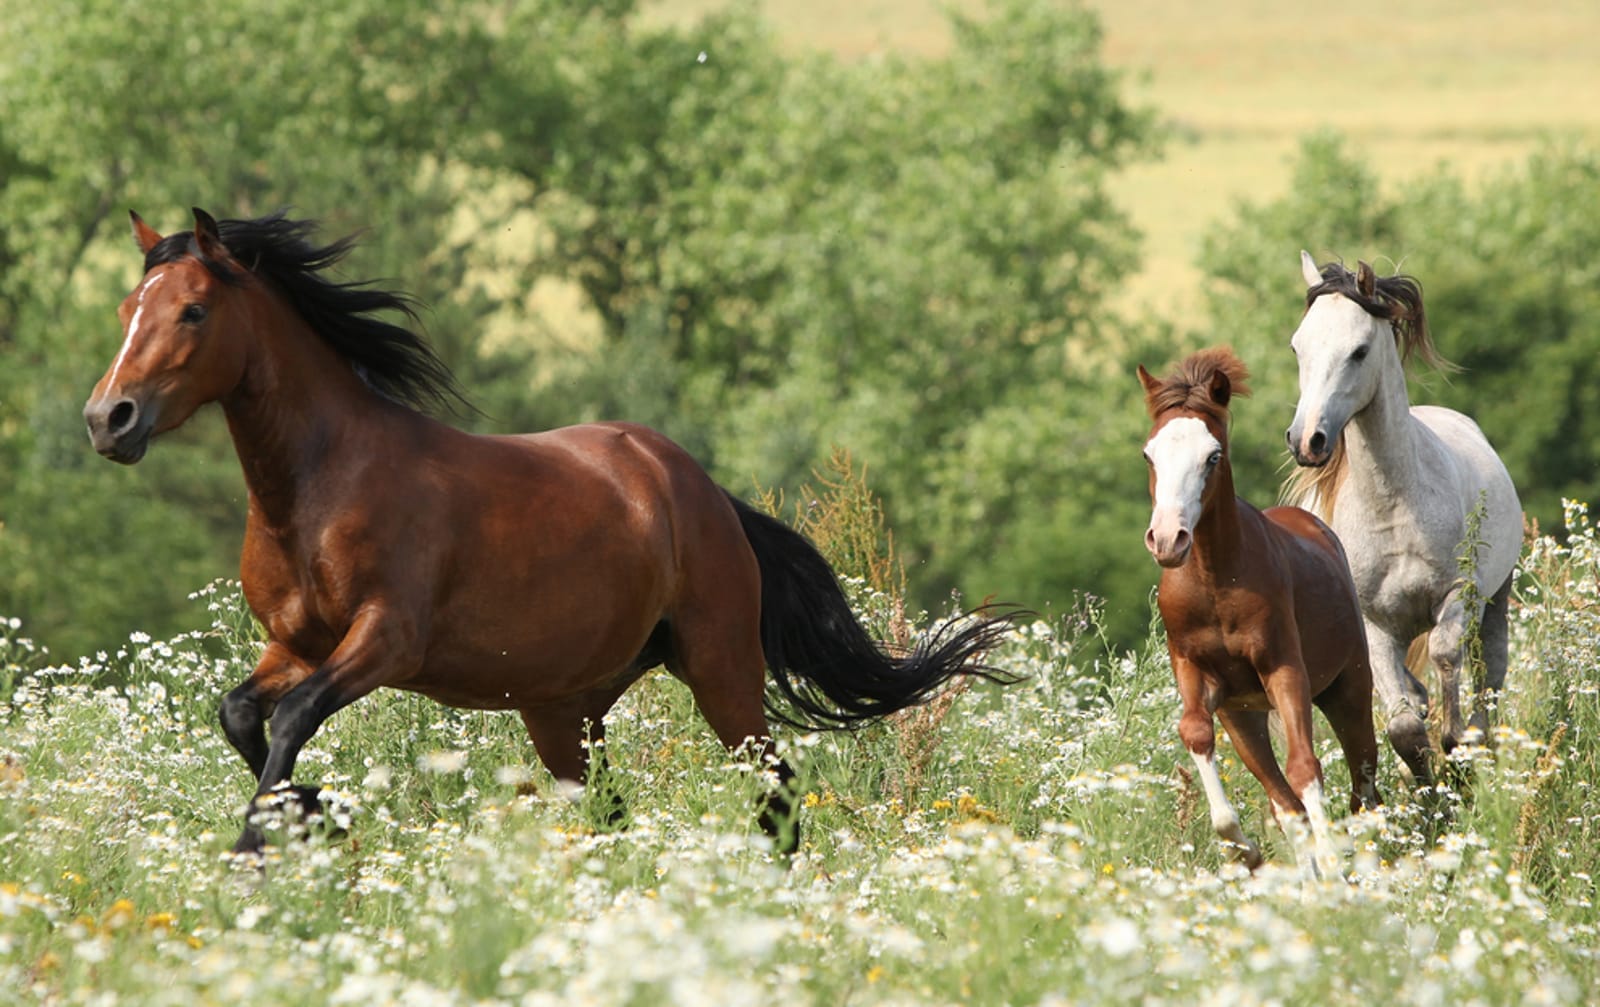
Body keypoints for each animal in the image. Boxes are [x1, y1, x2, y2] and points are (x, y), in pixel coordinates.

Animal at [83, 208, 1019, 856]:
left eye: (194, 310)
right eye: (128, 305)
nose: (107, 418)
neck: (319, 487)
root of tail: (700, 489)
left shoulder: (386, 639)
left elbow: (292, 719)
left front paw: (264, 836)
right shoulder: (296, 643)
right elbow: (241, 713)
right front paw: (313, 810)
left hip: (721, 669)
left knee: (776, 790)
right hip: (565, 709)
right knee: (613, 810)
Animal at [1139, 348, 1380, 875]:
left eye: (1212, 456)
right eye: (1149, 455)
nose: (1167, 539)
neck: (1215, 581)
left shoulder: (1284, 669)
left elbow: (1306, 767)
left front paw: (1332, 869)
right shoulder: (1197, 673)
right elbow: (1196, 734)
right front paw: (1243, 850)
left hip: (1348, 687)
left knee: (1364, 783)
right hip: (1245, 717)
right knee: (1285, 801)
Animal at [1285, 254, 1522, 785]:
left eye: (1359, 351)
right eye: (1297, 346)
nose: (1307, 440)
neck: (1391, 509)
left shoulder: (1459, 595)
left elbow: (1445, 654)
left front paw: (1457, 751)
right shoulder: (1373, 623)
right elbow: (1403, 728)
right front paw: (1429, 787)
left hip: (1496, 598)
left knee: (1490, 674)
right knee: (1415, 692)